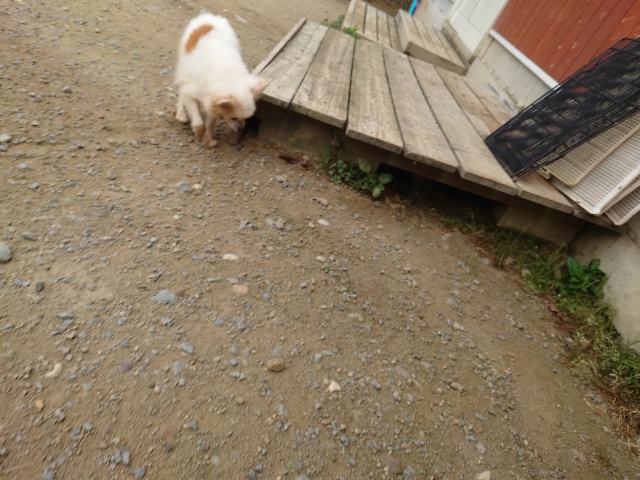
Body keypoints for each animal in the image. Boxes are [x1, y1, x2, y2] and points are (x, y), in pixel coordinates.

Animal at [174, 12, 268, 147]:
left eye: (246, 119)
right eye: (233, 118)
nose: (241, 129)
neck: (230, 77)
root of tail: (210, 16)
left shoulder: (213, 103)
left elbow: (211, 123)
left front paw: (209, 140)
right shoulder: (191, 91)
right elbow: (198, 120)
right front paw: (199, 132)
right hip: (184, 67)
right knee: (181, 92)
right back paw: (181, 114)